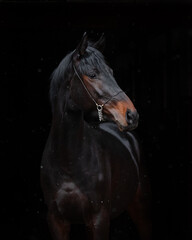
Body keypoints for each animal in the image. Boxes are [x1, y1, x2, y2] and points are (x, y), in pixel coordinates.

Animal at [40, 32, 152, 240]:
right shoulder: (57, 221)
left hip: (141, 207)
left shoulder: (99, 219)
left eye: (111, 72)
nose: (131, 115)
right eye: (92, 74)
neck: (68, 161)